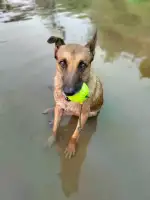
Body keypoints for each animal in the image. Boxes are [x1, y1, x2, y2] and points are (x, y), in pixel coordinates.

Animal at [44, 31, 103, 159]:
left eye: (82, 65)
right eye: (62, 63)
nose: (69, 92)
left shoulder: (83, 115)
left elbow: (75, 134)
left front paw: (71, 147)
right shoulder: (60, 106)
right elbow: (55, 128)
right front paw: (52, 138)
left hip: (90, 114)